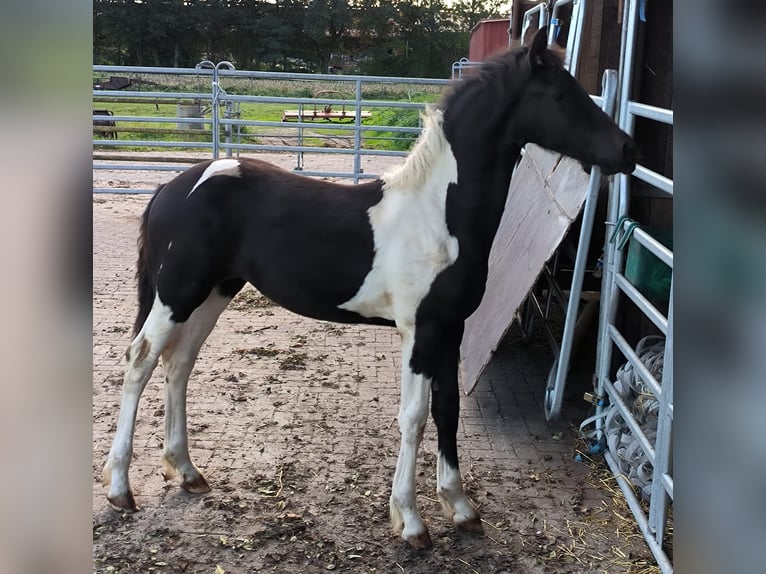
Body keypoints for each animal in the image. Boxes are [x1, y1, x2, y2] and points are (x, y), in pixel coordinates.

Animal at [105, 30, 640, 548]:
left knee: (179, 364)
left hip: (214, 292)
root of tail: (174, 187)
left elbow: (449, 408)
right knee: (141, 360)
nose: (628, 150)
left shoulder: (450, 329)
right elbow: (415, 415)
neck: (437, 215)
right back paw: (120, 490)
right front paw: (411, 521)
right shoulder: (419, 331)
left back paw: (187, 472)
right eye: (559, 95)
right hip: (178, 293)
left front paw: (460, 507)